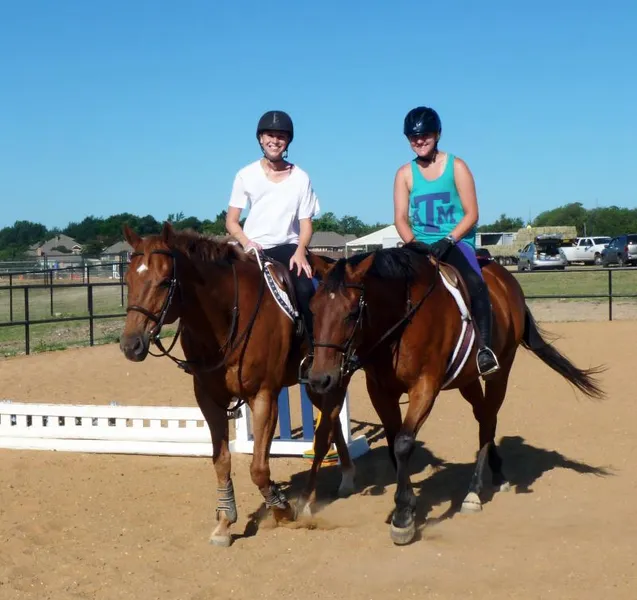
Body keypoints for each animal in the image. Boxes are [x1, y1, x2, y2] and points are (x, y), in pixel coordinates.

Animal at [119, 223, 356, 548]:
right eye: (129, 279)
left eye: (165, 281)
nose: (131, 345)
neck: (228, 314)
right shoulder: (208, 399)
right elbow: (221, 461)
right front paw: (224, 522)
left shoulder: (264, 397)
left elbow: (258, 469)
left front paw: (281, 508)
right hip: (315, 384)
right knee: (331, 422)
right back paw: (344, 477)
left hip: (330, 379)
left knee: (325, 430)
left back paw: (317, 495)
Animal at [306, 241, 604, 548]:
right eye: (313, 309)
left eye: (352, 312)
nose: (320, 379)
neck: (402, 321)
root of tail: (505, 278)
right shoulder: (380, 391)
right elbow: (392, 445)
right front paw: (406, 505)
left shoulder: (425, 387)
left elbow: (403, 443)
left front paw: (403, 516)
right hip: (467, 380)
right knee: (484, 416)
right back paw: (496, 471)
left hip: (500, 371)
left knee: (489, 418)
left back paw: (474, 492)